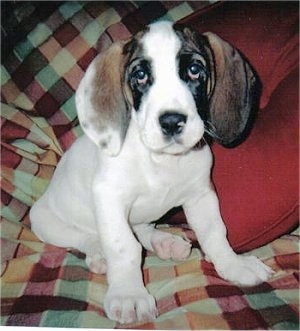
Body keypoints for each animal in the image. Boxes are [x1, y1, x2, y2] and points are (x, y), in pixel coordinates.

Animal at [29, 21, 272, 324]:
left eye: (195, 69)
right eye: (141, 75)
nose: (171, 122)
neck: (162, 160)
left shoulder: (201, 195)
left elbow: (214, 232)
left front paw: (232, 264)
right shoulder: (109, 197)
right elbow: (124, 247)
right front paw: (128, 293)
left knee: (143, 230)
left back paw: (164, 242)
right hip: (45, 221)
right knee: (87, 237)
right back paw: (99, 254)